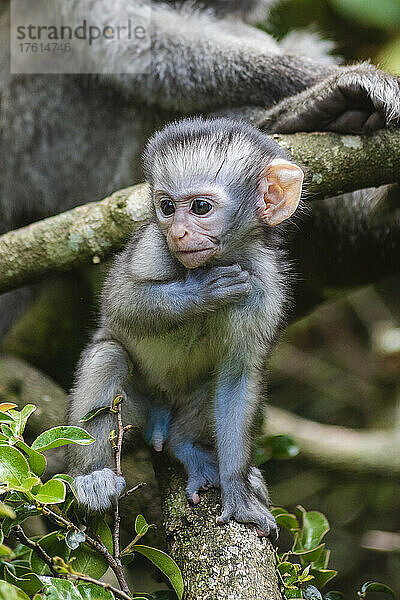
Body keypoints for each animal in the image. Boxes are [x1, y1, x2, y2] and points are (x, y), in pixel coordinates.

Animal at [68, 116, 304, 536]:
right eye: (166, 207)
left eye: (200, 207)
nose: (178, 232)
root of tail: (159, 414)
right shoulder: (152, 245)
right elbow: (120, 300)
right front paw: (201, 290)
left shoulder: (266, 284)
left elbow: (238, 375)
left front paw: (237, 491)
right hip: (134, 409)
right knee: (108, 355)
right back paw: (92, 476)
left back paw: (186, 446)